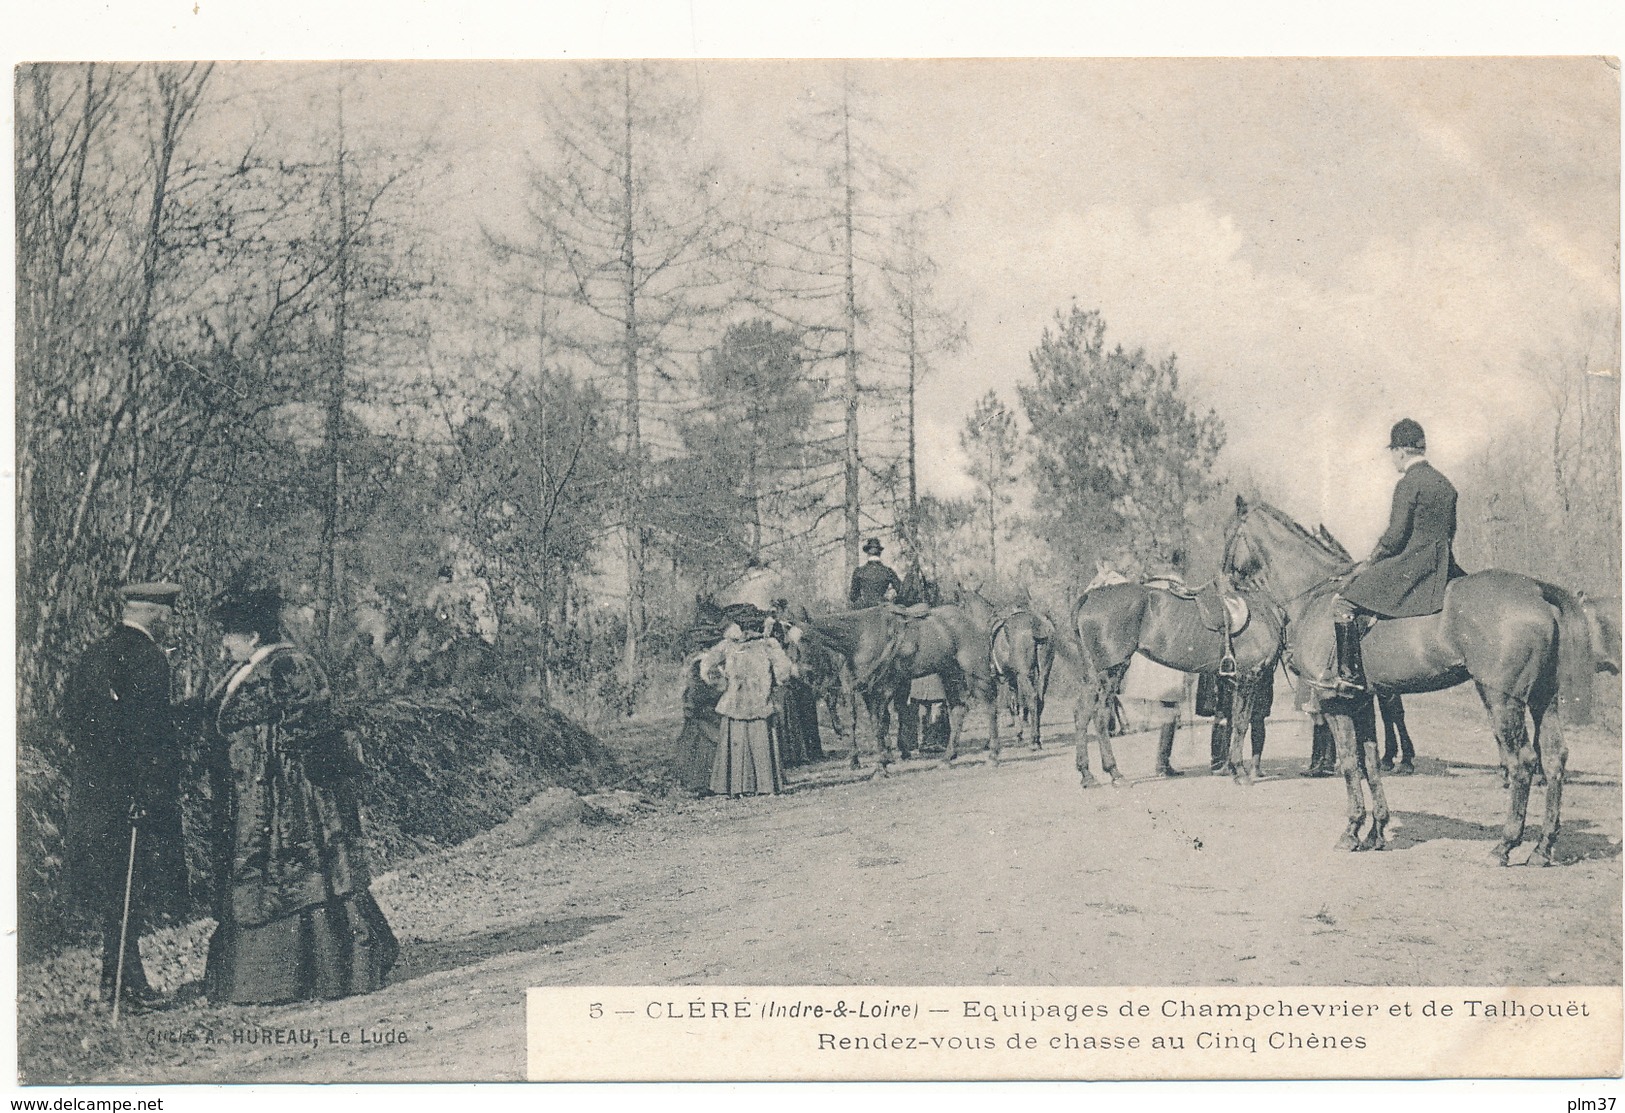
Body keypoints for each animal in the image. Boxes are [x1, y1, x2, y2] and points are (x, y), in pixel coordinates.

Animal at [796, 604, 994, 766]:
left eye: (805, 640)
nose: (803, 673)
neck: (862, 636)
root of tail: (971, 620)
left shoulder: (884, 687)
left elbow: (880, 722)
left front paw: (882, 762)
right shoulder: (862, 689)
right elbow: (866, 721)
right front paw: (864, 759)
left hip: (976, 673)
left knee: (989, 704)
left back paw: (993, 754)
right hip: (951, 675)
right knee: (958, 710)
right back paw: (948, 757)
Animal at [949, 584, 1059, 750]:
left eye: (960, 605)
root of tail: (1036, 623)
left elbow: (993, 706)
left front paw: (990, 742)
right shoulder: (1011, 678)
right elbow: (1014, 705)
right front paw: (1018, 735)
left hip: (1025, 674)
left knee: (1033, 698)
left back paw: (1034, 740)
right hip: (1043, 672)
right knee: (1039, 700)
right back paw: (1037, 738)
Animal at [1072, 578, 1287, 786]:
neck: (1261, 608)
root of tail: (1089, 597)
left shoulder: (1232, 681)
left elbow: (1231, 721)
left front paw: (1231, 769)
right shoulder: (1249, 677)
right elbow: (1242, 723)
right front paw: (1241, 772)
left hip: (1092, 674)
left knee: (1082, 714)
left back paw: (1087, 775)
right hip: (1112, 670)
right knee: (1100, 716)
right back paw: (1115, 773)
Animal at [1222, 493, 1592, 857]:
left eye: (1229, 533)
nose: (1224, 580)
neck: (1316, 597)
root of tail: (1536, 591)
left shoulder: (1335, 703)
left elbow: (1350, 763)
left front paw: (1351, 830)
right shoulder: (1361, 700)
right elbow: (1371, 763)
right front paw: (1376, 830)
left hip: (1501, 698)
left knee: (1524, 761)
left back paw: (1507, 842)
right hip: (1543, 698)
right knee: (1555, 757)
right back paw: (1543, 846)